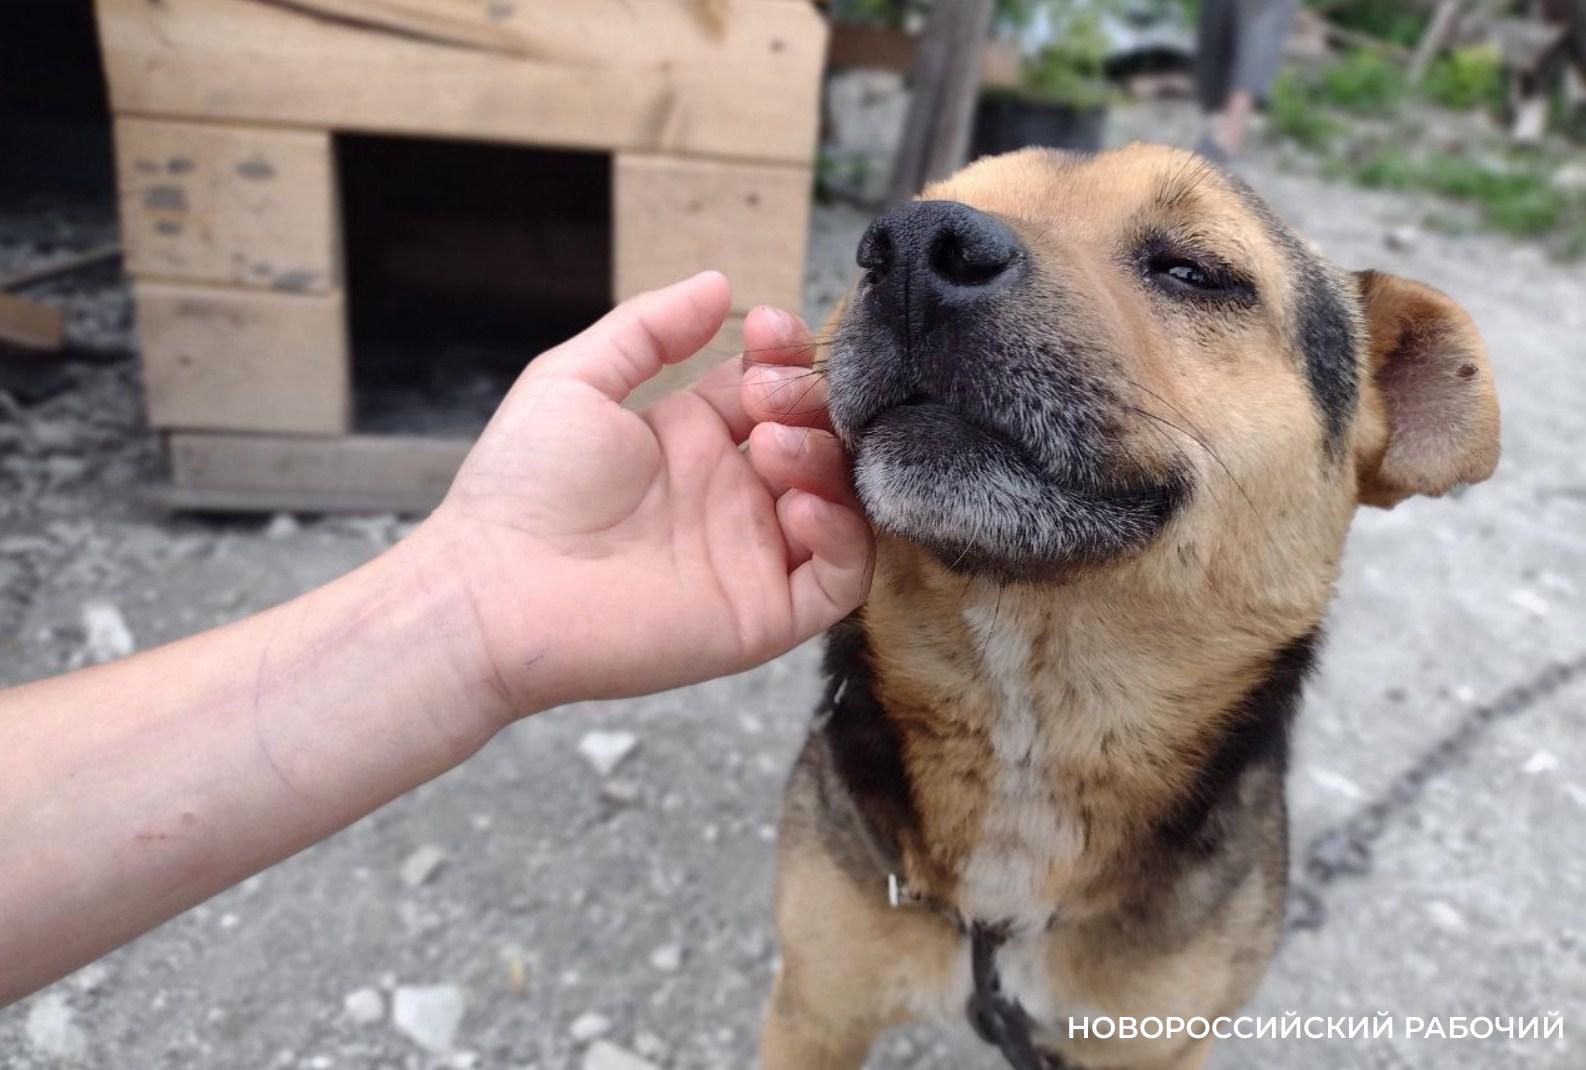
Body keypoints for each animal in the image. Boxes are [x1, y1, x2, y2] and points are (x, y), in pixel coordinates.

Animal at [754, 144, 1497, 1070]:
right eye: (876, 244)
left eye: (1193, 271)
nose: (913, 249)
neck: (1030, 707)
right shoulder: (816, 1007)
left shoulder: (1152, 1042)